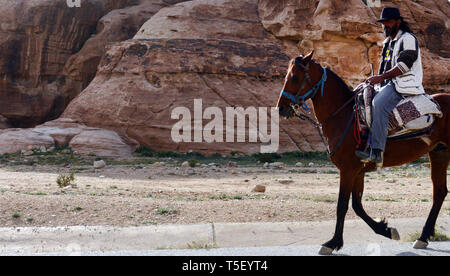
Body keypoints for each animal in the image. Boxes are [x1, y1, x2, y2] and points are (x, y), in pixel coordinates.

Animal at [276, 51, 448, 254]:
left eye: (295, 77)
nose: (281, 108)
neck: (344, 116)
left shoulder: (348, 170)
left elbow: (342, 205)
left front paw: (333, 242)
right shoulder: (358, 171)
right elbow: (357, 205)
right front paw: (386, 229)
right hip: (439, 153)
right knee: (440, 192)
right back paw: (423, 237)